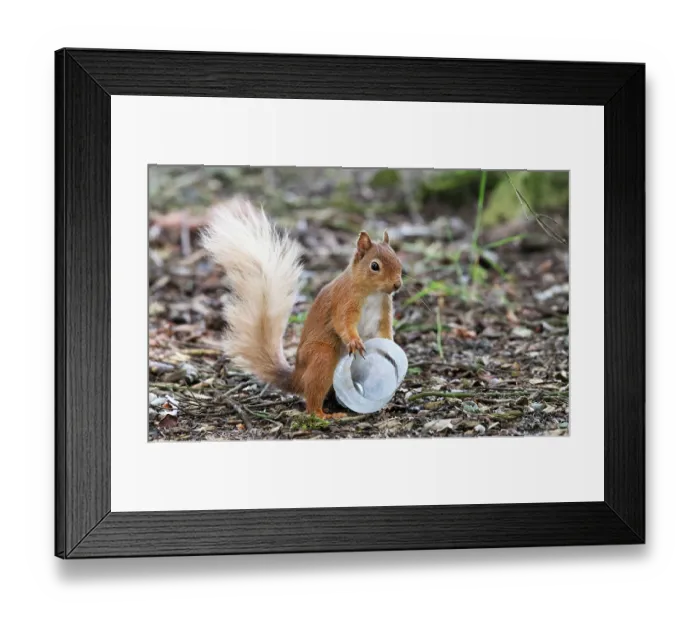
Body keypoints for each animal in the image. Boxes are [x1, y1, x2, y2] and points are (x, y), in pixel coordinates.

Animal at [201, 198, 403, 420]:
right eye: (375, 266)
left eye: (398, 260)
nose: (397, 285)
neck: (372, 293)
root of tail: (298, 377)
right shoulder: (344, 301)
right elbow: (343, 323)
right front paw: (354, 341)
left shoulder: (384, 310)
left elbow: (385, 331)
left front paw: (392, 348)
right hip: (322, 356)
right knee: (313, 398)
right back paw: (324, 415)